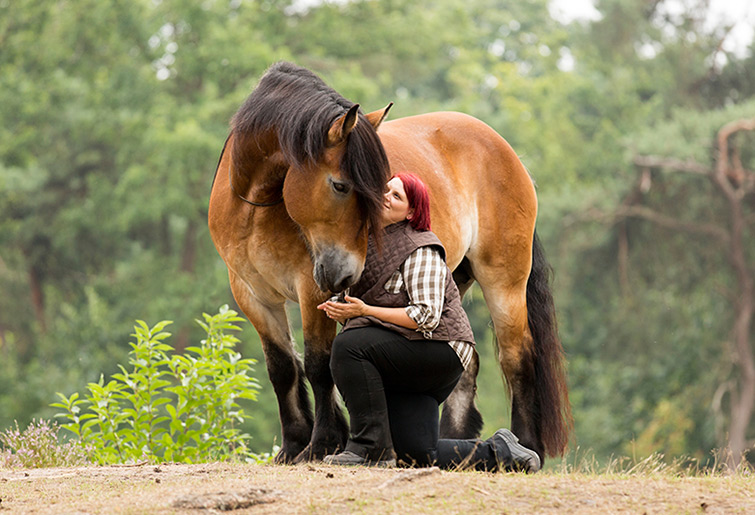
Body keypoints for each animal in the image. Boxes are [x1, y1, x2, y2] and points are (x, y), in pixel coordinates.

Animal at [208, 62, 572, 466]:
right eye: (340, 185)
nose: (347, 273)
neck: (257, 207)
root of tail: (505, 150)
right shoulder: (253, 295)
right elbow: (283, 369)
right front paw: (292, 447)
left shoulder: (312, 290)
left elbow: (319, 364)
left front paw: (321, 445)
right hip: (452, 278)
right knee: (468, 362)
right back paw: (459, 444)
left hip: (504, 280)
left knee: (517, 357)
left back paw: (526, 445)